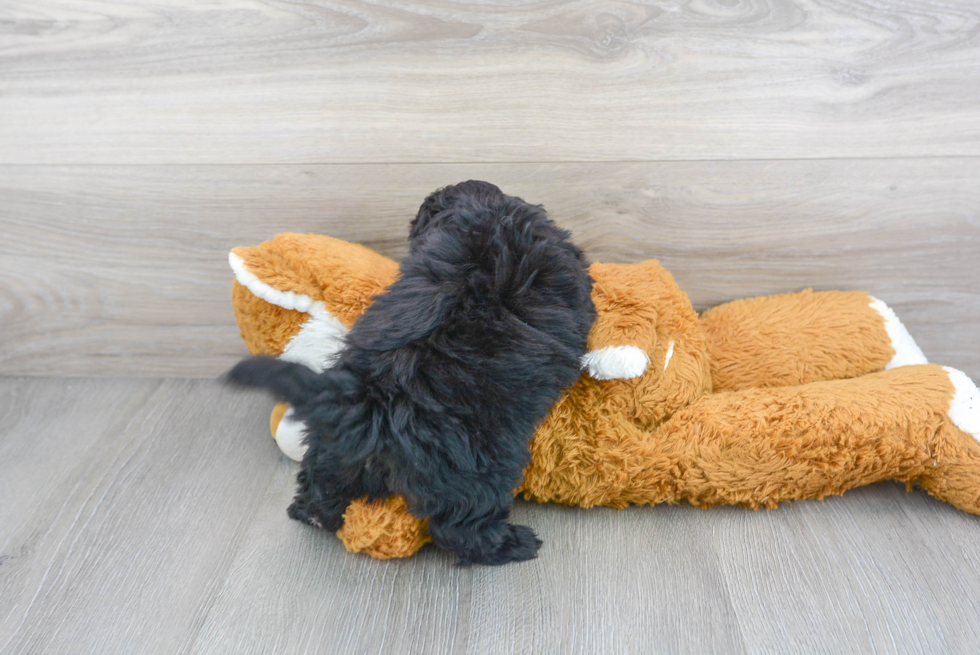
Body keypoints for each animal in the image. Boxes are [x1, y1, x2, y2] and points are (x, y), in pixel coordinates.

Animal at [229, 182, 592, 568]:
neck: (486, 217)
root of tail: (370, 404)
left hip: (333, 452)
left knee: (320, 484)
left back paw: (310, 513)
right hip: (480, 466)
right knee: (460, 526)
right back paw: (513, 545)